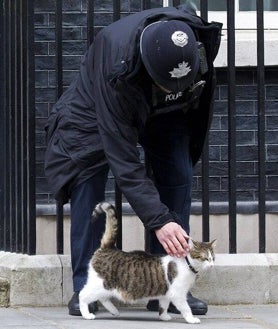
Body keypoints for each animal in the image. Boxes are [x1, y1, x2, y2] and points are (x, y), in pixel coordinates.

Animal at [79, 201, 216, 322]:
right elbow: (186, 308)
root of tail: (107, 248)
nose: (212, 265)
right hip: (100, 284)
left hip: (105, 287)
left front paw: (164, 317)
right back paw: (86, 314)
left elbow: (163, 306)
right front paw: (191, 319)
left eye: (212, 258)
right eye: (205, 258)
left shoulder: (167, 293)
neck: (187, 264)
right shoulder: (178, 294)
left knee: (103, 298)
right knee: (83, 295)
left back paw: (114, 311)